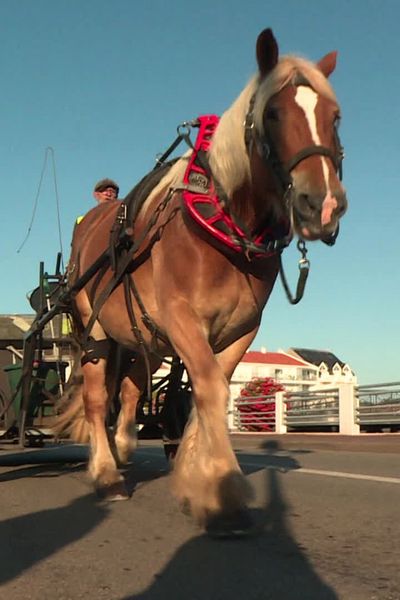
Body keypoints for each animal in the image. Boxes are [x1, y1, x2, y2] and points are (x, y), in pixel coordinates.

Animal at [59, 28, 346, 536]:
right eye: (273, 113)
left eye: (335, 116)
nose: (324, 204)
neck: (225, 221)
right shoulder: (180, 318)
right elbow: (210, 388)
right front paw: (223, 489)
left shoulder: (239, 330)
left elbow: (207, 389)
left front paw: (198, 475)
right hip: (93, 328)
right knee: (96, 399)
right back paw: (107, 472)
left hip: (138, 337)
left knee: (129, 390)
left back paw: (124, 447)